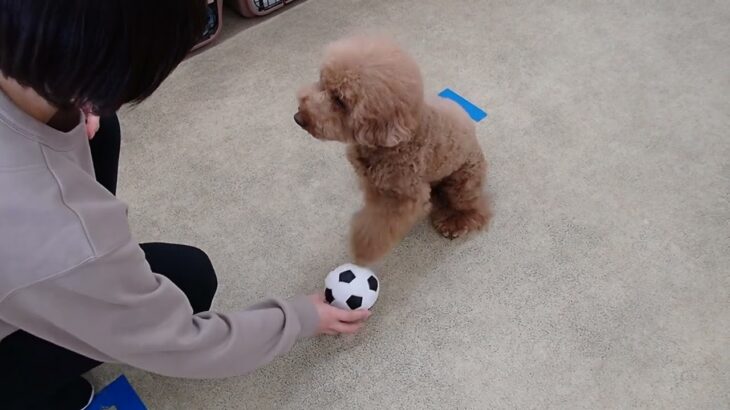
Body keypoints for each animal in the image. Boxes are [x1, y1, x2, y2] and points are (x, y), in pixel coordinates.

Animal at [294, 36, 490, 266]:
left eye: (340, 100)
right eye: (322, 83)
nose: (298, 118)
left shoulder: (404, 197)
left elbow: (376, 227)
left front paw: (362, 251)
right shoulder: (372, 182)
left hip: (462, 181)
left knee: (475, 209)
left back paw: (454, 221)